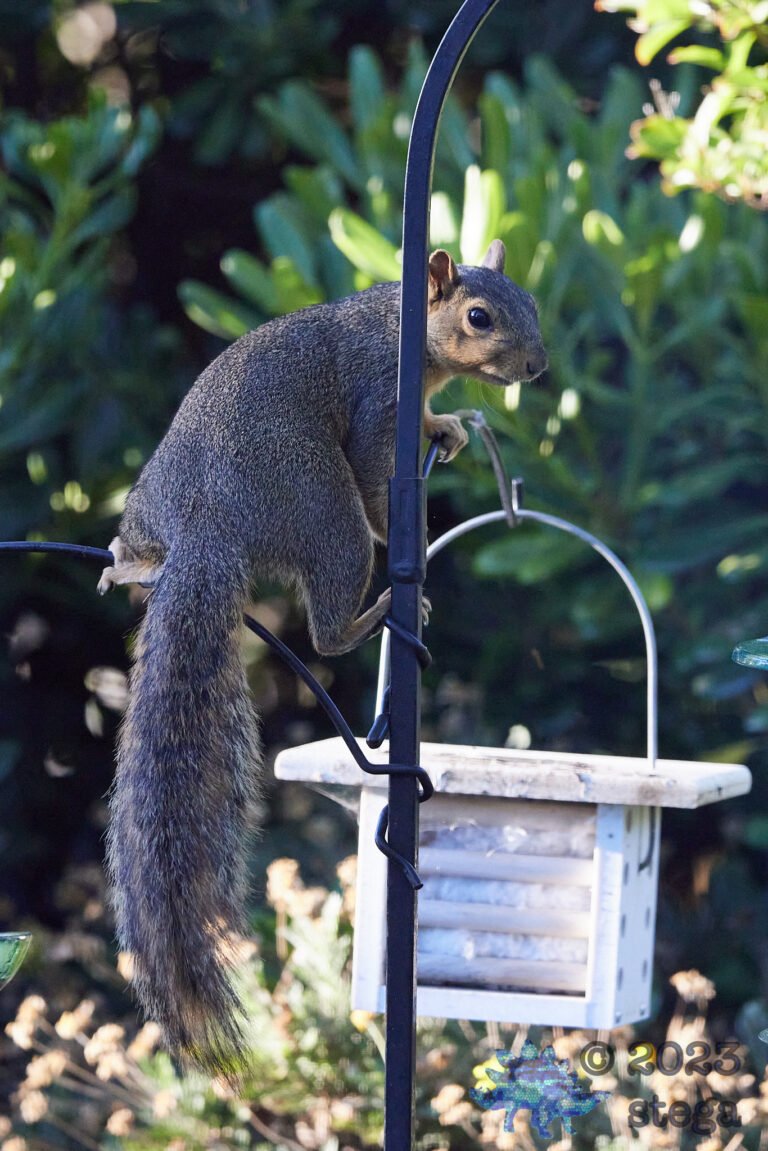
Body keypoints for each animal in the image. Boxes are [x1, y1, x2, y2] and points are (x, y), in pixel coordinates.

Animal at [98, 238, 547, 1077]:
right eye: (479, 316)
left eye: (530, 301)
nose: (536, 365)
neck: (404, 326)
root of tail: (207, 528)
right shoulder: (378, 397)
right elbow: (376, 472)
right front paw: (401, 526)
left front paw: (447, 425)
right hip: (319, 504)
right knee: (332, 608)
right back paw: (379, 608)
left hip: (149, 501)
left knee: (142, 543)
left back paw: (129, 563)